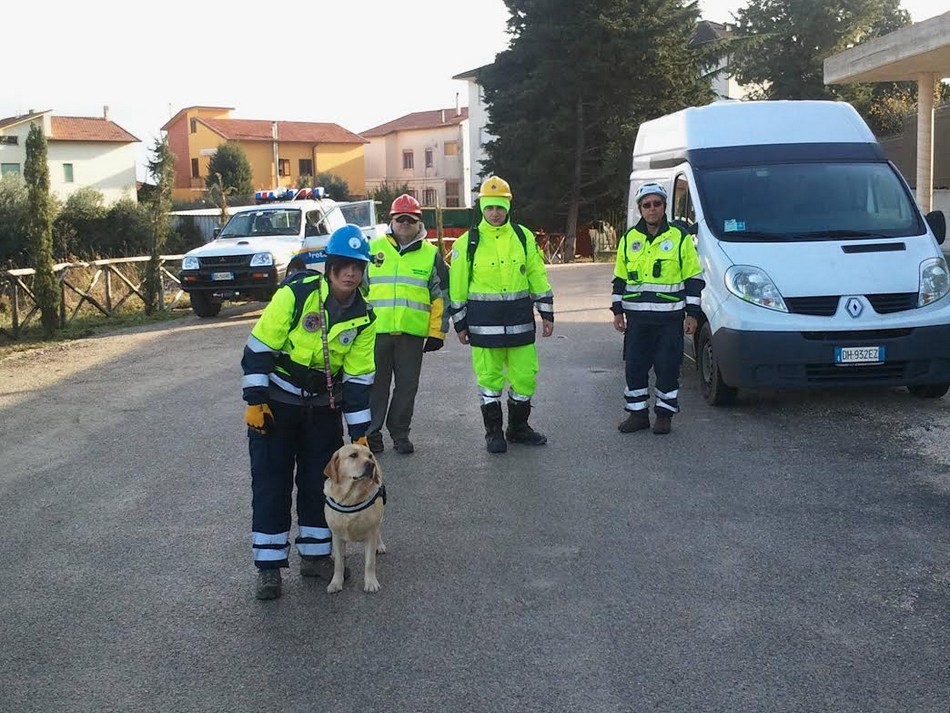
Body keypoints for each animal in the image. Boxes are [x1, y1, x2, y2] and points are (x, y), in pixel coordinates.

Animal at [324, 442, 386, 592]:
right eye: (353, 455)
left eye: (369, 456)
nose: (371, 464)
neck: (351, 497)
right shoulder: (336, 535)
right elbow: (339, 563)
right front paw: (335, 583)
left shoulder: (370, 534)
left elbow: (369, 562)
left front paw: (371, 583)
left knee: (379, 531)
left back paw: (380, 545)